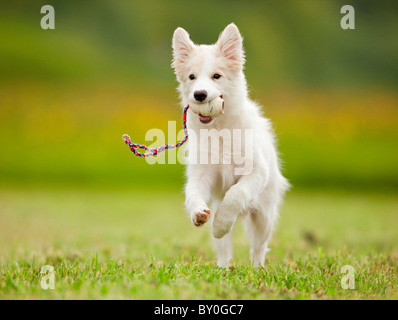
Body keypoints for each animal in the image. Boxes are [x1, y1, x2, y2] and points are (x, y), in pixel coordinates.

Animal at [172, 23, 290, 268]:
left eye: (216, 76)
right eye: (191, 77)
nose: (199, 94)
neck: (220, 131)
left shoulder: (256, 172)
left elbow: (236, 194)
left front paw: (222, 223)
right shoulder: (203, 174)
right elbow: (192, 193)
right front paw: (198, 213)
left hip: (264, 216)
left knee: (258, 247)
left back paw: (257, 269)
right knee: (224, 247)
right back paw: (223, 268)